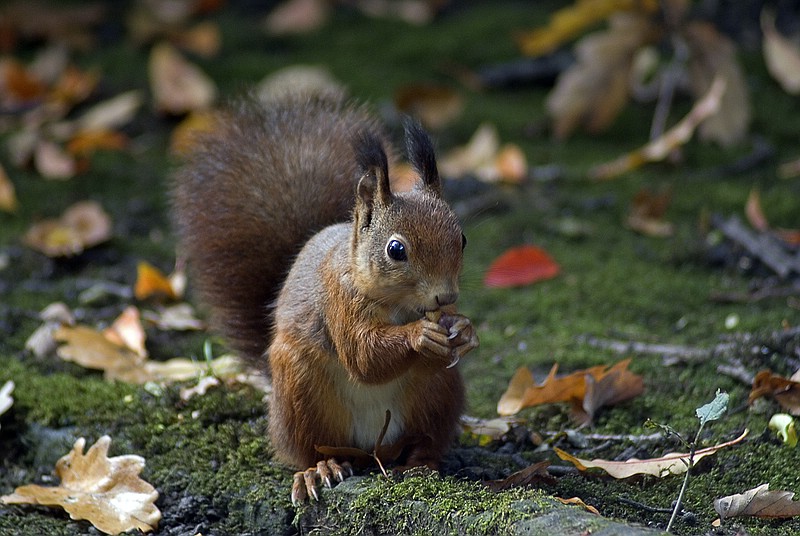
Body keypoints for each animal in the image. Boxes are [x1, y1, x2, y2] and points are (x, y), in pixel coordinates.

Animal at [172, 92, 478, 502]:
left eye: (462, 238)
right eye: (396, 249)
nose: (445, 296)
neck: (398, 305)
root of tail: (372, 450)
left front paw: (464, 330)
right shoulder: (339, 300)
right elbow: (363, 356)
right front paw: (420, 335)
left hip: (438, 394)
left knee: (427, 438)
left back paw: (420, 463)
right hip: (301, 390)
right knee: (308, 448)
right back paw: (320, 469)